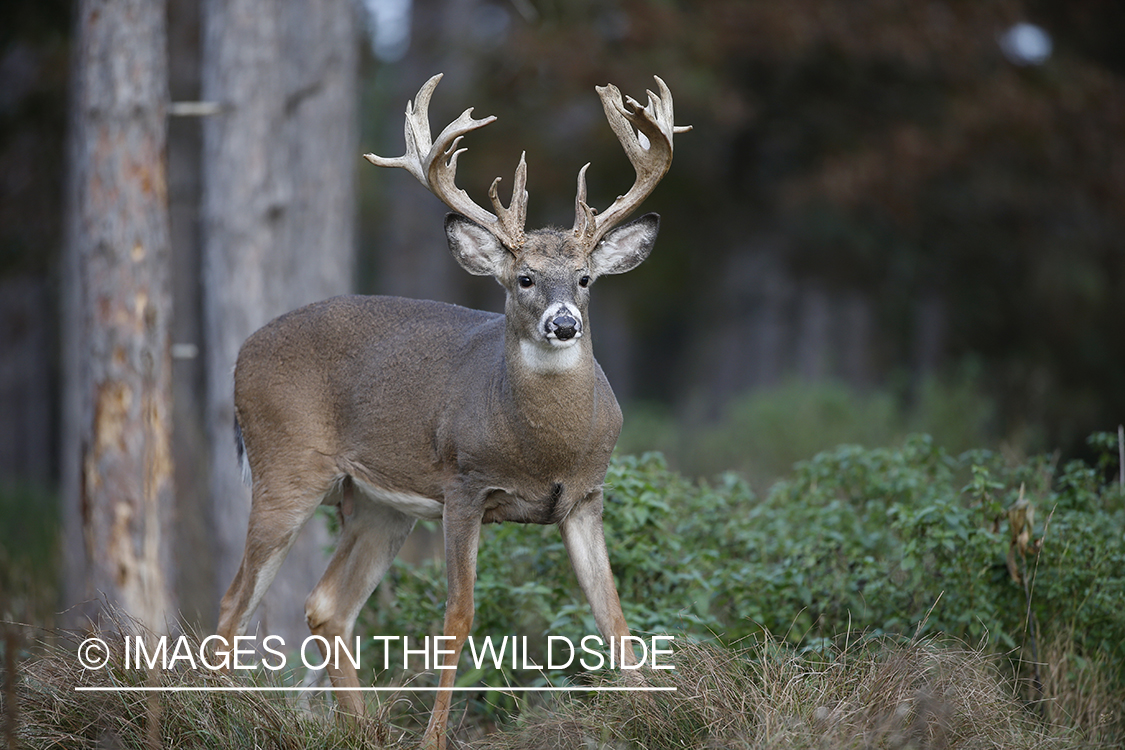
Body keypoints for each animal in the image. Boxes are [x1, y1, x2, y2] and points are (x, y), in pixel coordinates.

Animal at [211, 71, 684, 750]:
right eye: (523, 278)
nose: (564, 323)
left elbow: (612, 613)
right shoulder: (464, 486)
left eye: (587, 278)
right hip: (286, 468)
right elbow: (459, 615)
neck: (544, 447)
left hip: (377, 505)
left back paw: (360, 728)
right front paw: (434, 737)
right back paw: (224, 719)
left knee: (326, 605)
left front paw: (656, 719)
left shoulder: (586, 494)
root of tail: (241, 355)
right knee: (233, 605)